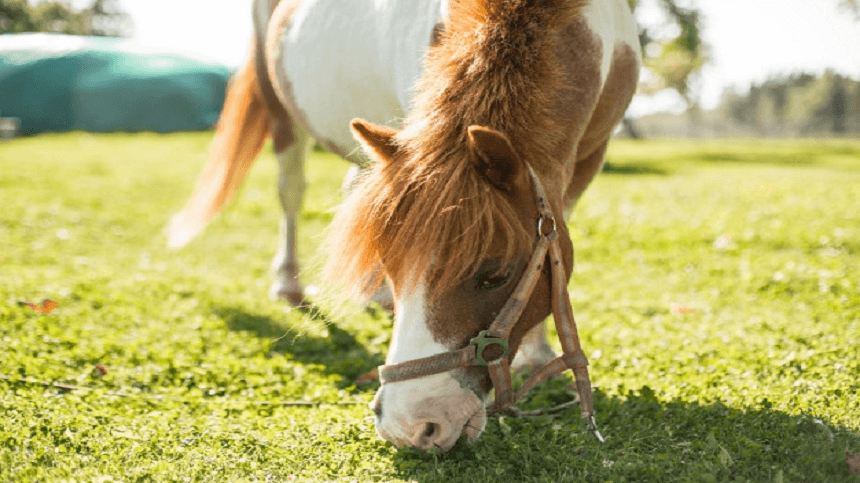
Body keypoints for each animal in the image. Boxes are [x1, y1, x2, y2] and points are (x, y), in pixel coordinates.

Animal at [168, 0, 640, 454]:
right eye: (393, 265)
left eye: (496, 274)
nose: (410, 424)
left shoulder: (588, 157)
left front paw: (538, 353)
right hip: (282, 111)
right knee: (292, 189)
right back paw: (290, 283)